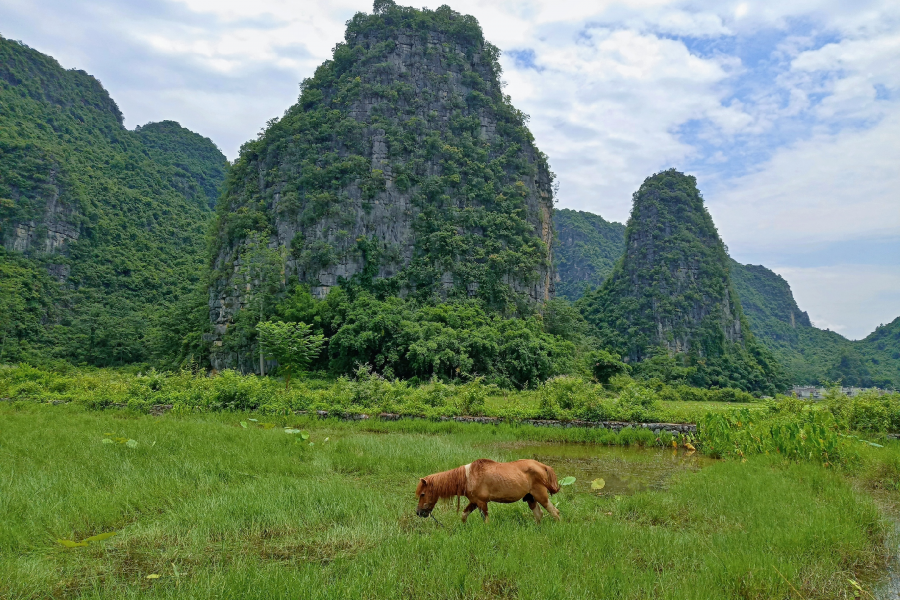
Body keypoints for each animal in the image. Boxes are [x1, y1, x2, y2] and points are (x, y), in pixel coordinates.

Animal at [416, 458, 560, 524]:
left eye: (423, 494)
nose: (418, 512)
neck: (468, 477)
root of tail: (542, 465)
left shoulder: (482, 503)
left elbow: (486, 521)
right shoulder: (474, 502)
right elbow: (464, 515)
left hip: (541, 496)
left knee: (555, 513)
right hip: (530, 498)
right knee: (539, 514)